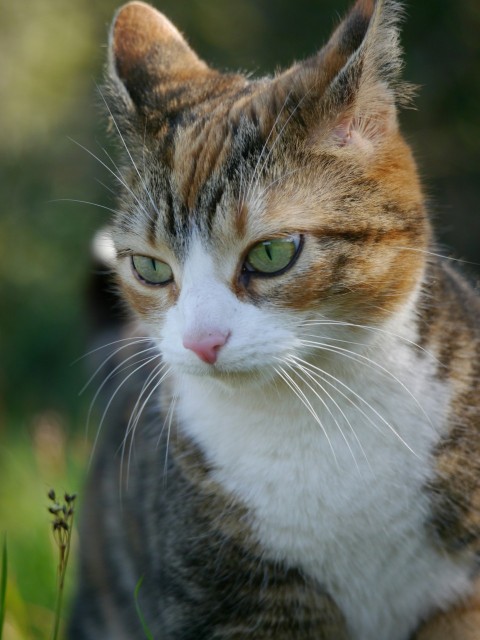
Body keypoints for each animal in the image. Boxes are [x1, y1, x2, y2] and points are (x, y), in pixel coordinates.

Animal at [69, 0, 480, 636]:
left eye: (270, 254)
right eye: (150, 268)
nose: (202, 341)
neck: (321, 418)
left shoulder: (461, 597)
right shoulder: (236, 602)